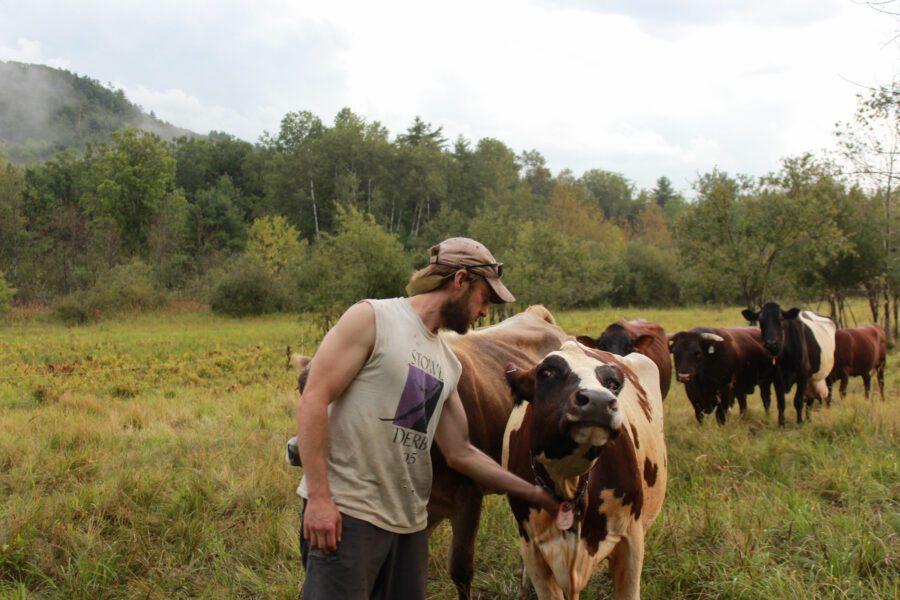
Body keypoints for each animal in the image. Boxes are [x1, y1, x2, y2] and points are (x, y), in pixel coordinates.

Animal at [500, 340, 668, 596]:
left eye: (612, 384)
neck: (567, 483)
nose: (598, 400)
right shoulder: (533, 548)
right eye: (545, 373)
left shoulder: (630, 539)